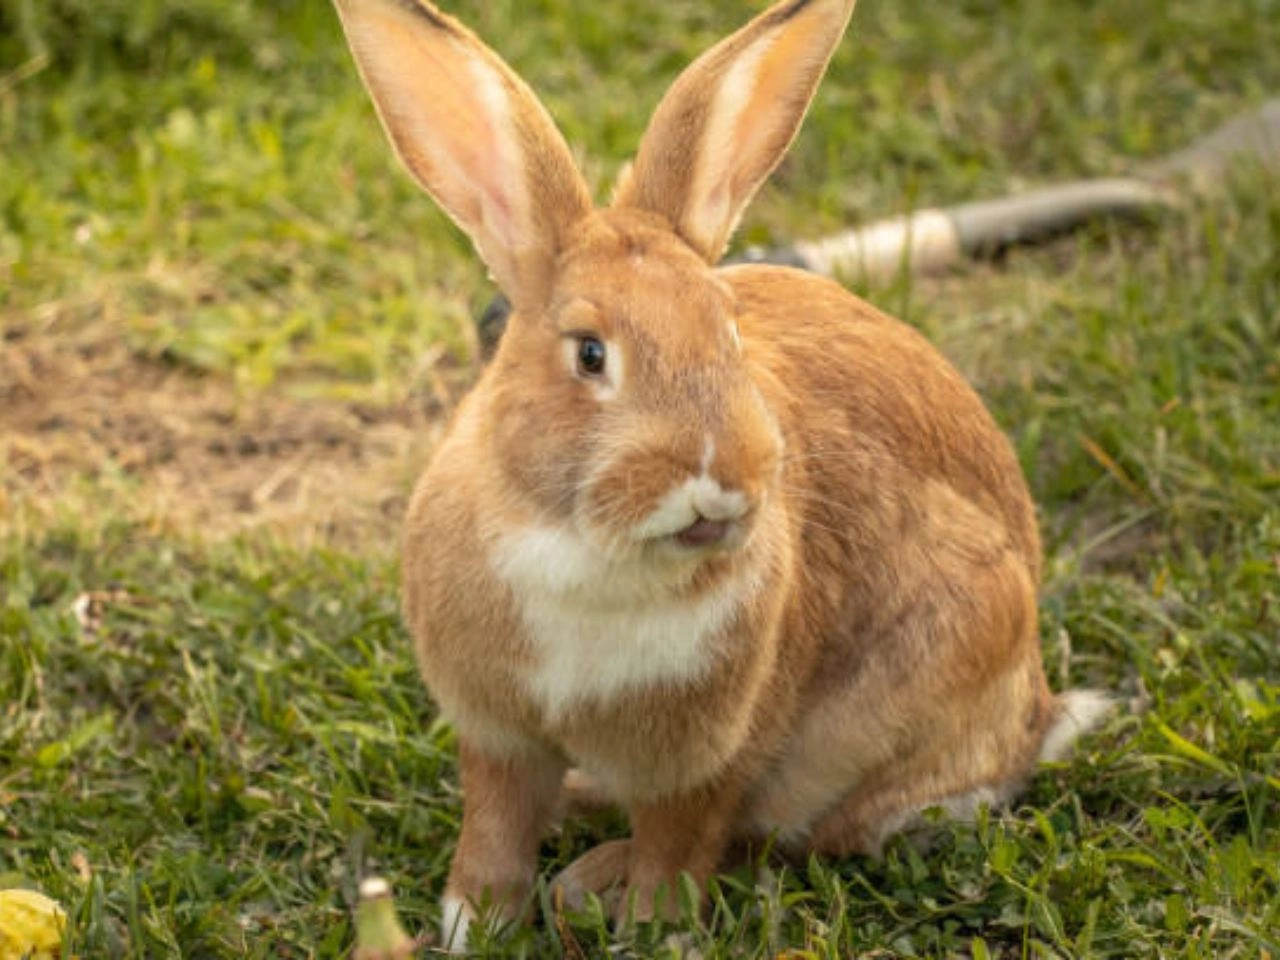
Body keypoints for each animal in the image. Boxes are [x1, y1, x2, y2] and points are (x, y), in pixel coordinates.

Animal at [330, 0, 1111, 952]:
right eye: (590, 354)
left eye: (729, 330)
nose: (719, 482)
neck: (586, 546)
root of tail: (1034, 719)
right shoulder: (498, 734)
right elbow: (496, 829)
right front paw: (472, 925)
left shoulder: (711, 754)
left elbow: (684, 842)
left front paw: (647, 928)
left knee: (797, 835)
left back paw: (592, 879)